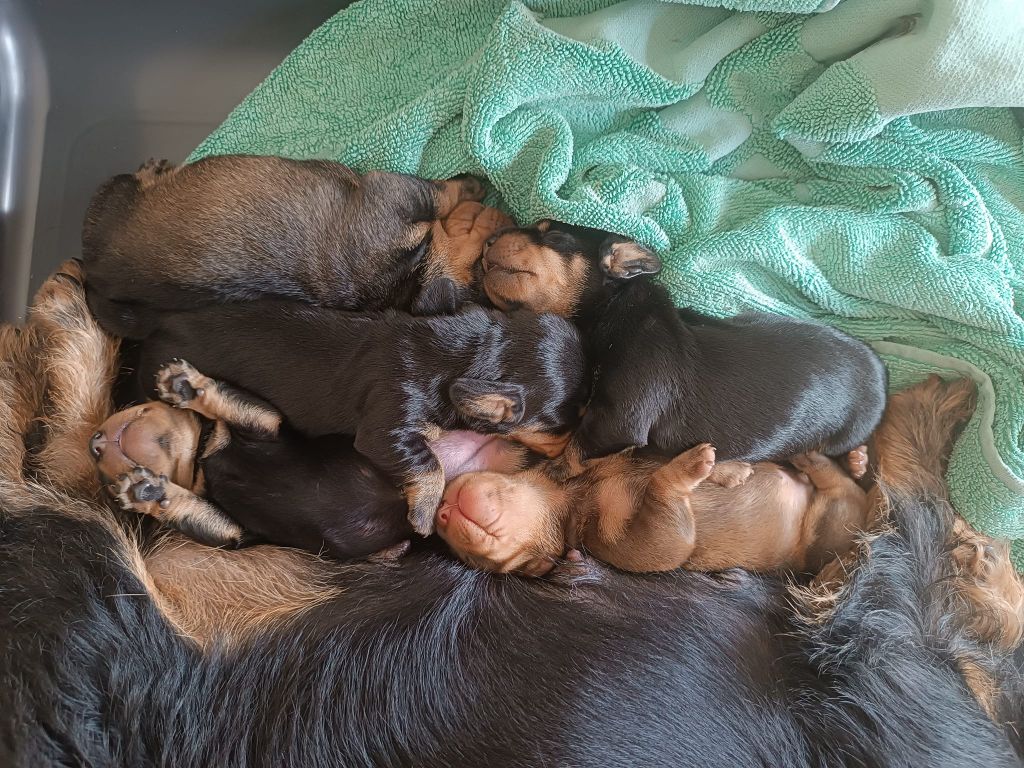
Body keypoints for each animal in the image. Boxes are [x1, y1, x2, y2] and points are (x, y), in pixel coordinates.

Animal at [82, 154, 507, 335]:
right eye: (481, 266)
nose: (509, 223)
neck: (403, 280)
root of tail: (93, 271)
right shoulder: (395, 192)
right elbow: (442, 193)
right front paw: (472, 182)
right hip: (112, 193)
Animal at [90, 360, 528, 561]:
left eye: (140, 408)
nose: (94, 441)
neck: (202, 455)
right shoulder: (236, 532)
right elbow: (194, 511)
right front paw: (146, 492)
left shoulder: (268, 424)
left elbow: (232, 404)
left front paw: (187, 388)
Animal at [121, 301, 585, 536]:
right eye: (563, 423)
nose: (570, 451)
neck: (467, 354)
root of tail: (153, 332)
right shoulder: (388, 427)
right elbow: (430, 466)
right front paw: (424, 514)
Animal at [436, 444, 868, 577]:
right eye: (473, 562)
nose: (439, 512)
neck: (573, 493)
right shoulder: (628, 545)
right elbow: (666, 526)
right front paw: (690, 467)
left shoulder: (616, 453)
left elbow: (655, 456)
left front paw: (729, 471)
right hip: (830, 529)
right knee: (841, 493)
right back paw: (823, 462)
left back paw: (848, 459)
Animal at [475, 219, 884, 466]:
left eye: (553, 235)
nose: (487, 242)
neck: (609, 312)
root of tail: (880, 370)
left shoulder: (617, 423)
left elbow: (568, 455)